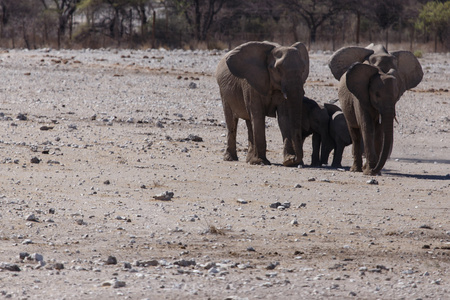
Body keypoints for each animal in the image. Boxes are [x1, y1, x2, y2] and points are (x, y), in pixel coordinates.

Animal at [328, 44, 424, 176]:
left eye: (396, 95)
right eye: (377, 95)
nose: (374, 170)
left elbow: (379, 131)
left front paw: (373, 171)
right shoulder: (360, 95)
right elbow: (367, 126)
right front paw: (370, 171)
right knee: (355, 133)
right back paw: (356, 169)